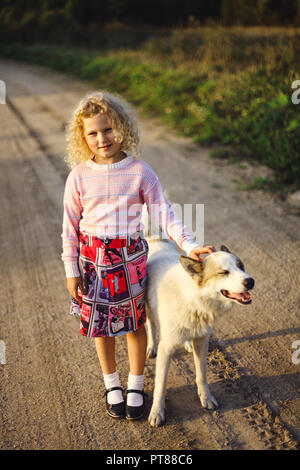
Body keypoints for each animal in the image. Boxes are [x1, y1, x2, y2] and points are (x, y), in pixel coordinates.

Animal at [144, 237, 254, 428]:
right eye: (224, 272)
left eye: (241, 266)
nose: (250, 281)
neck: (194, 299)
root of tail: (155, 239)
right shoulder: (166, 348)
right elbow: (160, 385)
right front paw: (157, 412)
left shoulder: (202, 342)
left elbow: (201, 376)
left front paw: (206, 398)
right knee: (150, 324)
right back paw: (151, 346)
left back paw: (187, 343)